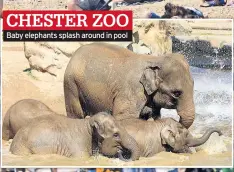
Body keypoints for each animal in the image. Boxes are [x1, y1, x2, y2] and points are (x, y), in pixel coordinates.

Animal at [64, 43, 196, 129]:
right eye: (176, 93)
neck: (155, 59)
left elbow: (154, 116)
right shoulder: (132, 91)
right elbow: (125, 118)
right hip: (71, 84)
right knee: (75, 114)